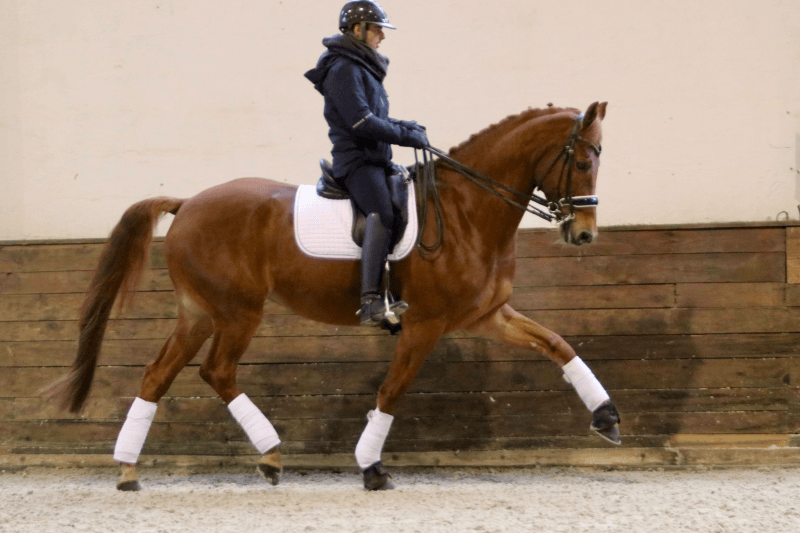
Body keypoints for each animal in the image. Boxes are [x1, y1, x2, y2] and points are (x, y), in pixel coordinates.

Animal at [54, 101, 619, 491]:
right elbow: (391, 392)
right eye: (584, 161)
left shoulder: (487, 315)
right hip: (237, 312)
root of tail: (188, 202)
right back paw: (270, 453)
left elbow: (558, 344)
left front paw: (607, 417)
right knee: (217, 372)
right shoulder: (425, 324)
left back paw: (129, 470)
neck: (465, 212)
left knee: (158, 375)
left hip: (198, 314)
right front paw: (372, 468)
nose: (584, 234)